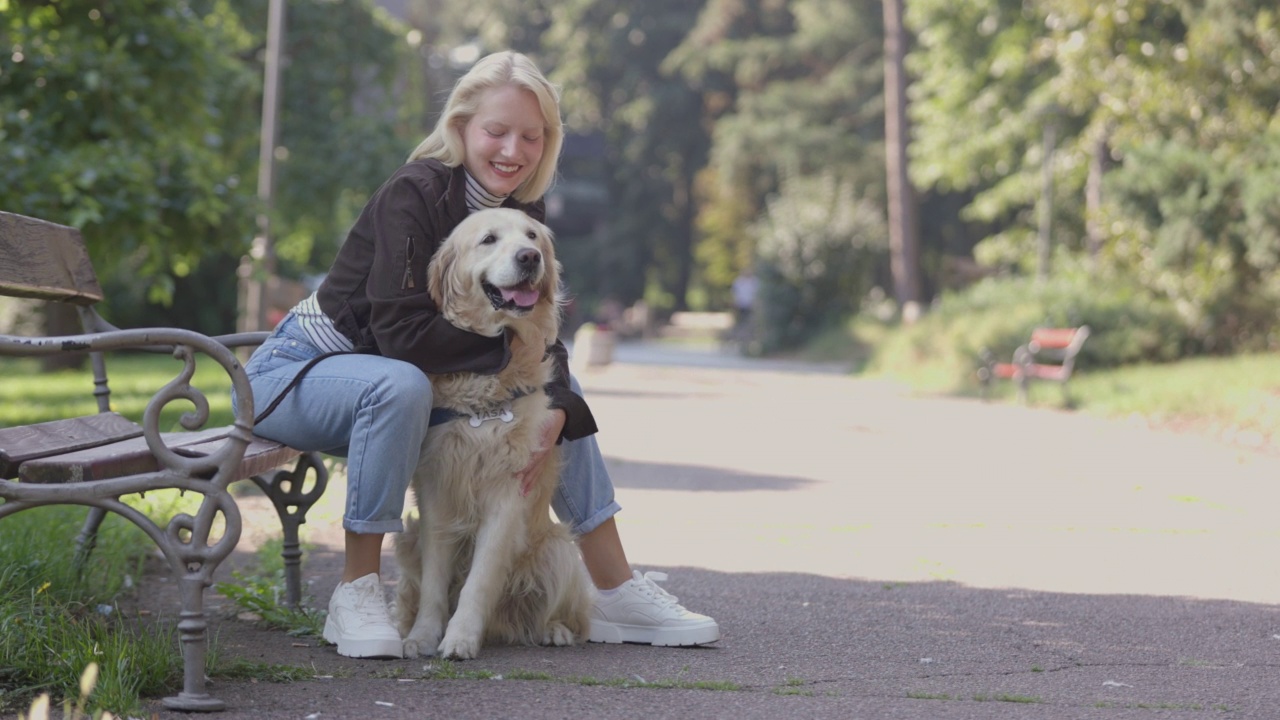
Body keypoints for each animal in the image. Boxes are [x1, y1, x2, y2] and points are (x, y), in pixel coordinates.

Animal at [394, 206, 593, 655]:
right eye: (488, 239)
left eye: (532, 236)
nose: (529, 258)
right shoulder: (436, 492)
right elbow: (435, 582)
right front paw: (424, 635)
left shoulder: (508, 492)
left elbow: (480, 580)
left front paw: (461, 637)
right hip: (406, 539)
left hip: (559, 550)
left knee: (558, 613)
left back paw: (554, 630)